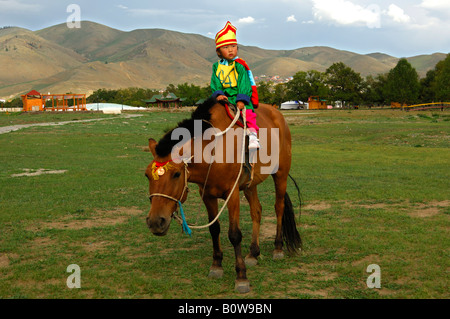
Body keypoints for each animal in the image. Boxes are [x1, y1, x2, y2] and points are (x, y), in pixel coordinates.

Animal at [146, 98, 300, 296]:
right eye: (147, 175)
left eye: (176, 174)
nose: (155, 222)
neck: (213, 150)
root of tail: (278, 115)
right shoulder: (207, 195)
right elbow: (214, 229)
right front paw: (216, 265)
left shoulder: (232, 194)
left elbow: (234, 234)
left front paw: (241, 276)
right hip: (250, 184)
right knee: (256, 211)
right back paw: (253, 253)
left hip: (280, 174)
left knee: (278, 207)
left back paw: (278, 248)